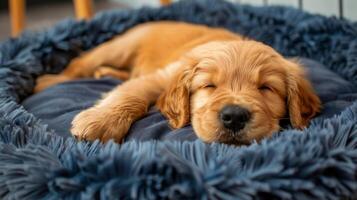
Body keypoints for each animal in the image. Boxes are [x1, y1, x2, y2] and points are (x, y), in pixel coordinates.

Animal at [35, 21, 320, 145]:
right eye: (209, 86)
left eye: (266, 88)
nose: (234, 117)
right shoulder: (160, 77)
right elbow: (133, 94)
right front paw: (101, 121)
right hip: (119, 47)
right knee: (79, 64)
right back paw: (45, 81)